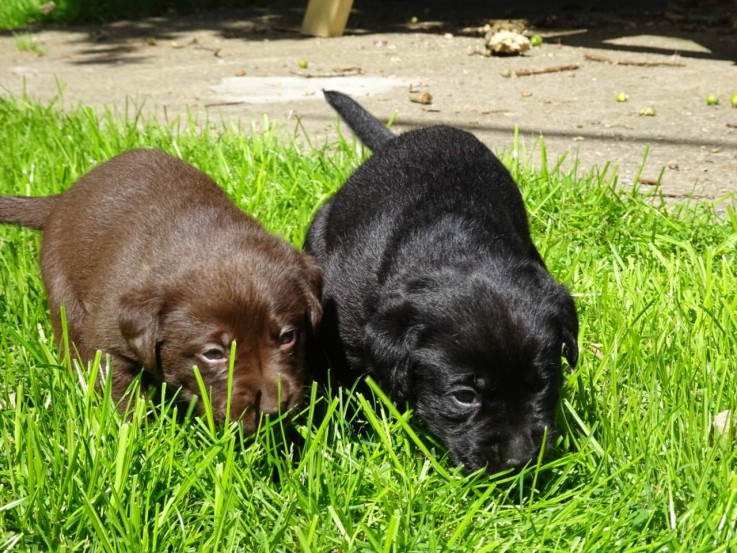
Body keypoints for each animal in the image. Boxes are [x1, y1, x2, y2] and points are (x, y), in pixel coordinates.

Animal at [0, 149, 322, 430]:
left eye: (288, 337)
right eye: (213, 354)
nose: (272, 411)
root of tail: (63, 199)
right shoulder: (107, 341)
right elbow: (120, 393)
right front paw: (135, 433)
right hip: (63, 292)